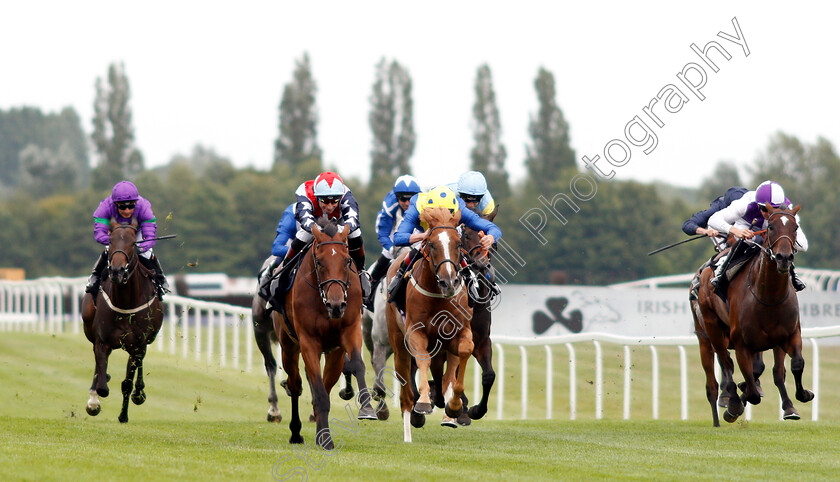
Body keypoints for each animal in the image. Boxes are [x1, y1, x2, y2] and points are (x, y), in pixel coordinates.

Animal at [81, 218, 163, 422]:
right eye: (110, 240)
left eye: (133, 243)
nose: (117, 271)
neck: (126, 303)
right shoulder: (102, 341)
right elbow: (102, 385)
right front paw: (94, 401)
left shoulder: (137, 344)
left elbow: (127, 382)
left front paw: (124, 414)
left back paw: (139, 393)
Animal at [274, 218, 376, 448]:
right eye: (319, 262)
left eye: (347, 261)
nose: (336, 305)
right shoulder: (308, 341)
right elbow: (318, 392)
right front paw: (326, 439)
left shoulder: (350, 330)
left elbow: (357, 364)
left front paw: (367, 408)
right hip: (288, 346)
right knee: (295, 384)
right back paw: (297, 433)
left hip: (334, 353)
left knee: (327, 383)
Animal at [386, 205, 472, 442]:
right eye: (432, 244)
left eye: (458, 244)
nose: (449, 281)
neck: (438, 295)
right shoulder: (415, 332)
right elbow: (422, 358)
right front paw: (423, 402)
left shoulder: (458, 332)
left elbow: (465, 350)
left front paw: (454, 406)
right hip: (398, 342)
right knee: (406, 387)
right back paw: (409, 429)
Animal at [688, 203, 812, 426]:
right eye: (770, 227)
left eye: (795, 227)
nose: (784, 258)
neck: (768, 297)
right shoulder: (742, 344)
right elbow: (750, 388)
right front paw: (734, 405)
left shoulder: (788, 335)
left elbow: (792, 366)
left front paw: (799, 399)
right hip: (708, 333)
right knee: (718, 374)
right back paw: (724, 408)